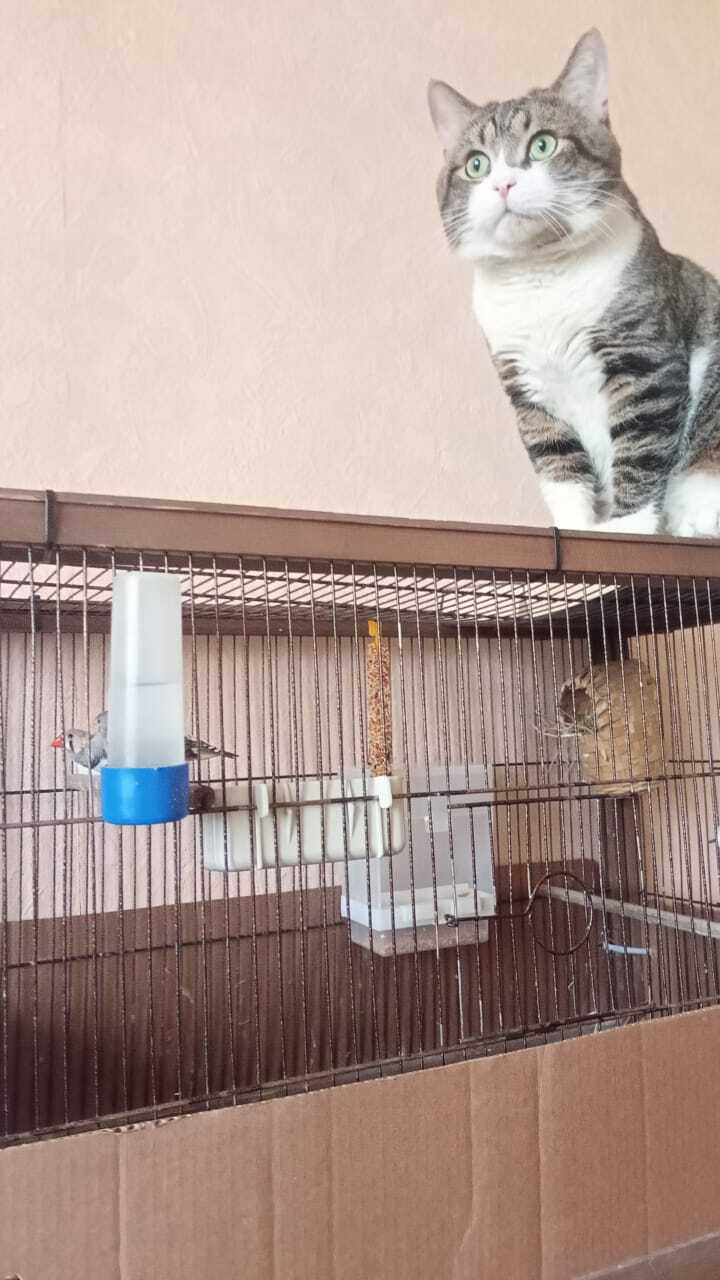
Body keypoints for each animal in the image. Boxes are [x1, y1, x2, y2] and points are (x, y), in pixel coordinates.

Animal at [428, 29, 720, 537]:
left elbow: (641, 449)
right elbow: (557, 464)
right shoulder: (525, 386)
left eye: (542, 145)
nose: (503, 184)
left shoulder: (644, 362)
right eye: (476, 165)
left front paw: (626, 529)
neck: (541, 280)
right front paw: (575, 527)